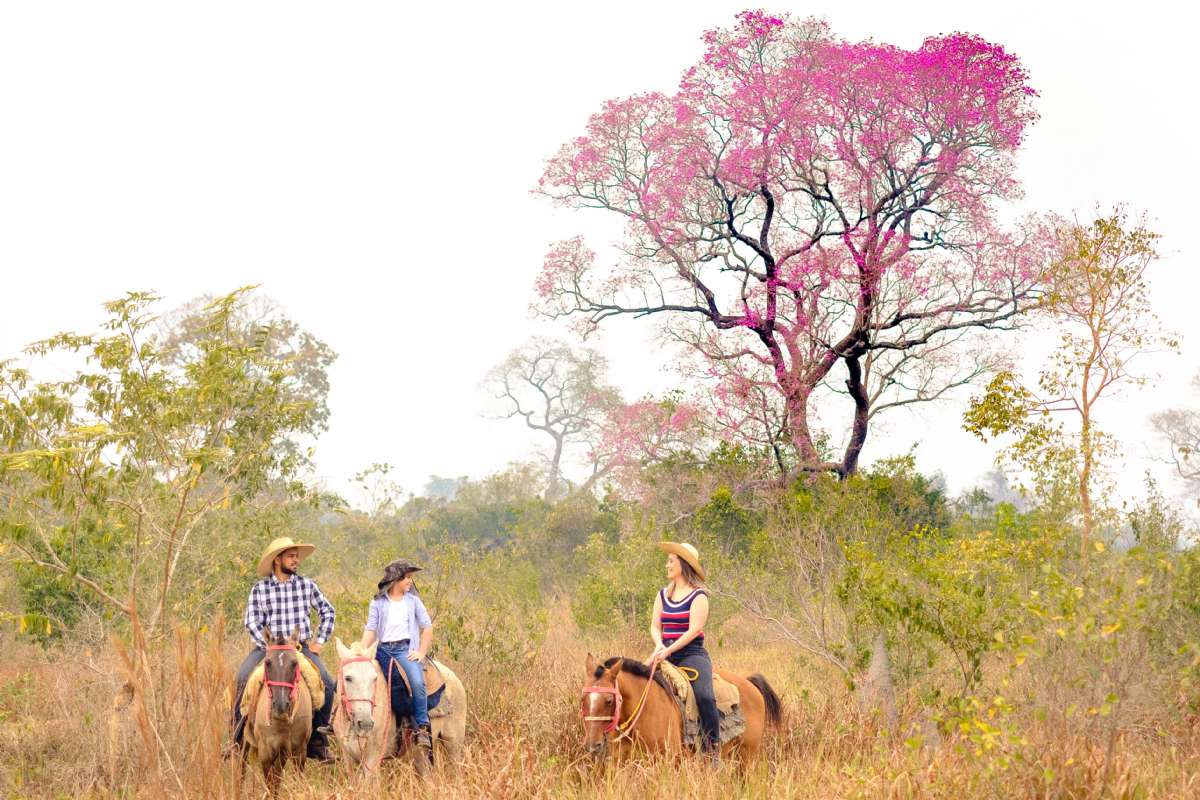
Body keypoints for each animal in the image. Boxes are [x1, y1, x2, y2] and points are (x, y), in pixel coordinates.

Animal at [240, 633, 312, 796]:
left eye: (294, 663)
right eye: (268, 663)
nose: (280, 705)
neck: (281, 722)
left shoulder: (299, 750)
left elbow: (289, 780)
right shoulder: (265, 752)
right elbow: (270, 784)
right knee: (241, 765)